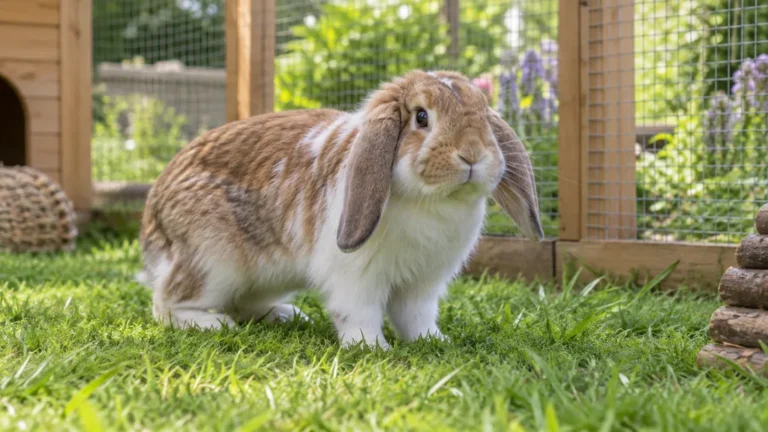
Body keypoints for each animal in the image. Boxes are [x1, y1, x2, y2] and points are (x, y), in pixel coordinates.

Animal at [138, 70, 544, 349]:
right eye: (421, 117)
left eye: (484, 114)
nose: (472, 154)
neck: (431, 201)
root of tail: (152, 219)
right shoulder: (357, 276)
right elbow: (358, 311)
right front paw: (371, 348)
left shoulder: (423, 285)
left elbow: (416, 318)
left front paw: (433, 342)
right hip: (213, 262)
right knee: (165, 303)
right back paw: (214, 324)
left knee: (243, 302)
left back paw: (286, 315)